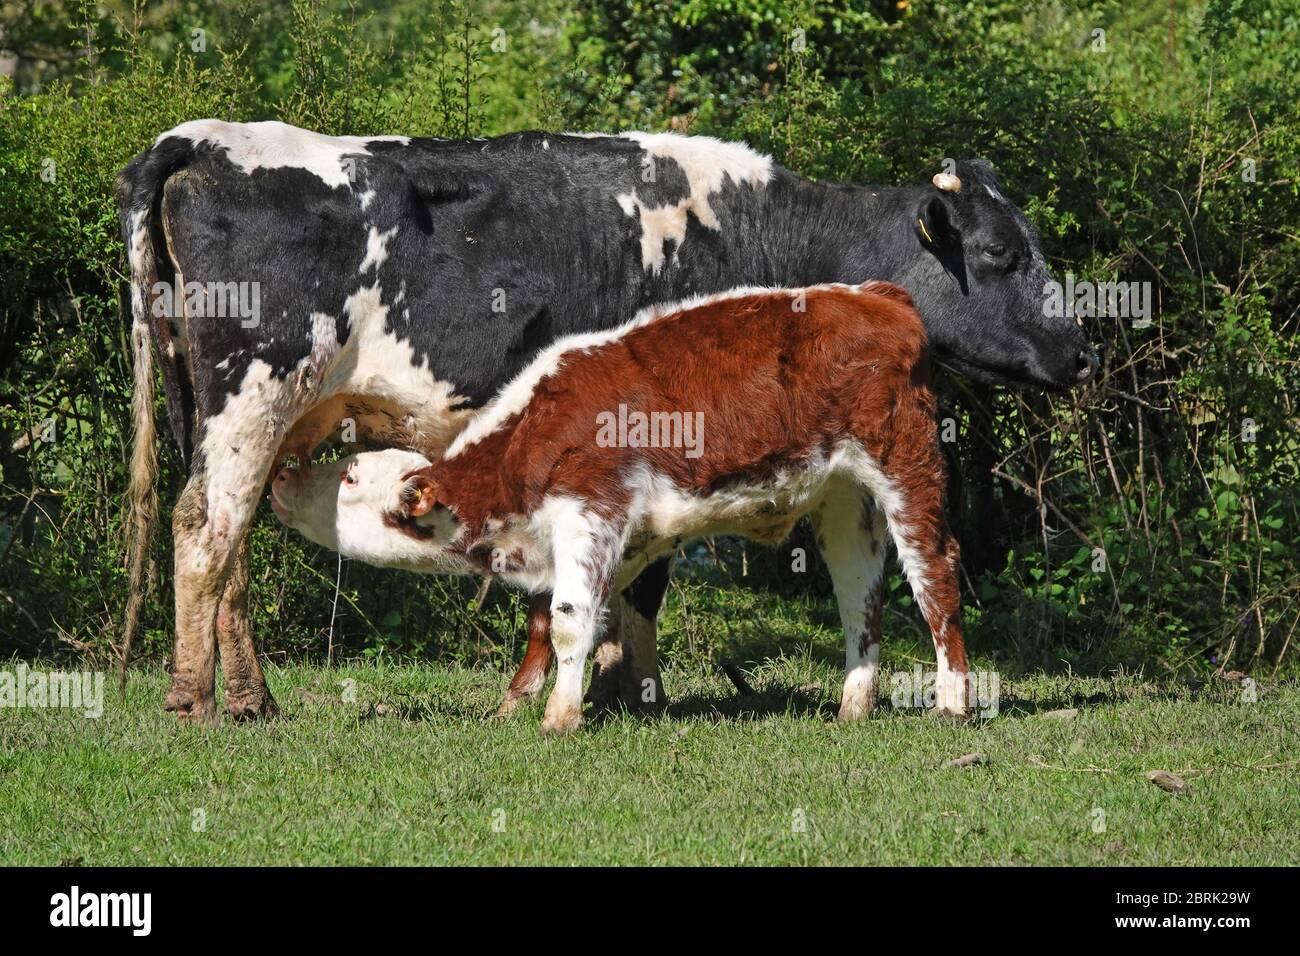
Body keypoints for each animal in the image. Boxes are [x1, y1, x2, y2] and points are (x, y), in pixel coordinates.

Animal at [271, 282, 967, 733]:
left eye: (351, 475)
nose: (282, 472)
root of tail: (877, 294)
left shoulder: (592, 511)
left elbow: (570, 619)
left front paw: (559, 719)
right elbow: (546, 623)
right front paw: (515, 705)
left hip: (905, 466)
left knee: (933, 575)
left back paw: (953, 701)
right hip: (843, 500)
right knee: (859, 595)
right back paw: (853, 706)